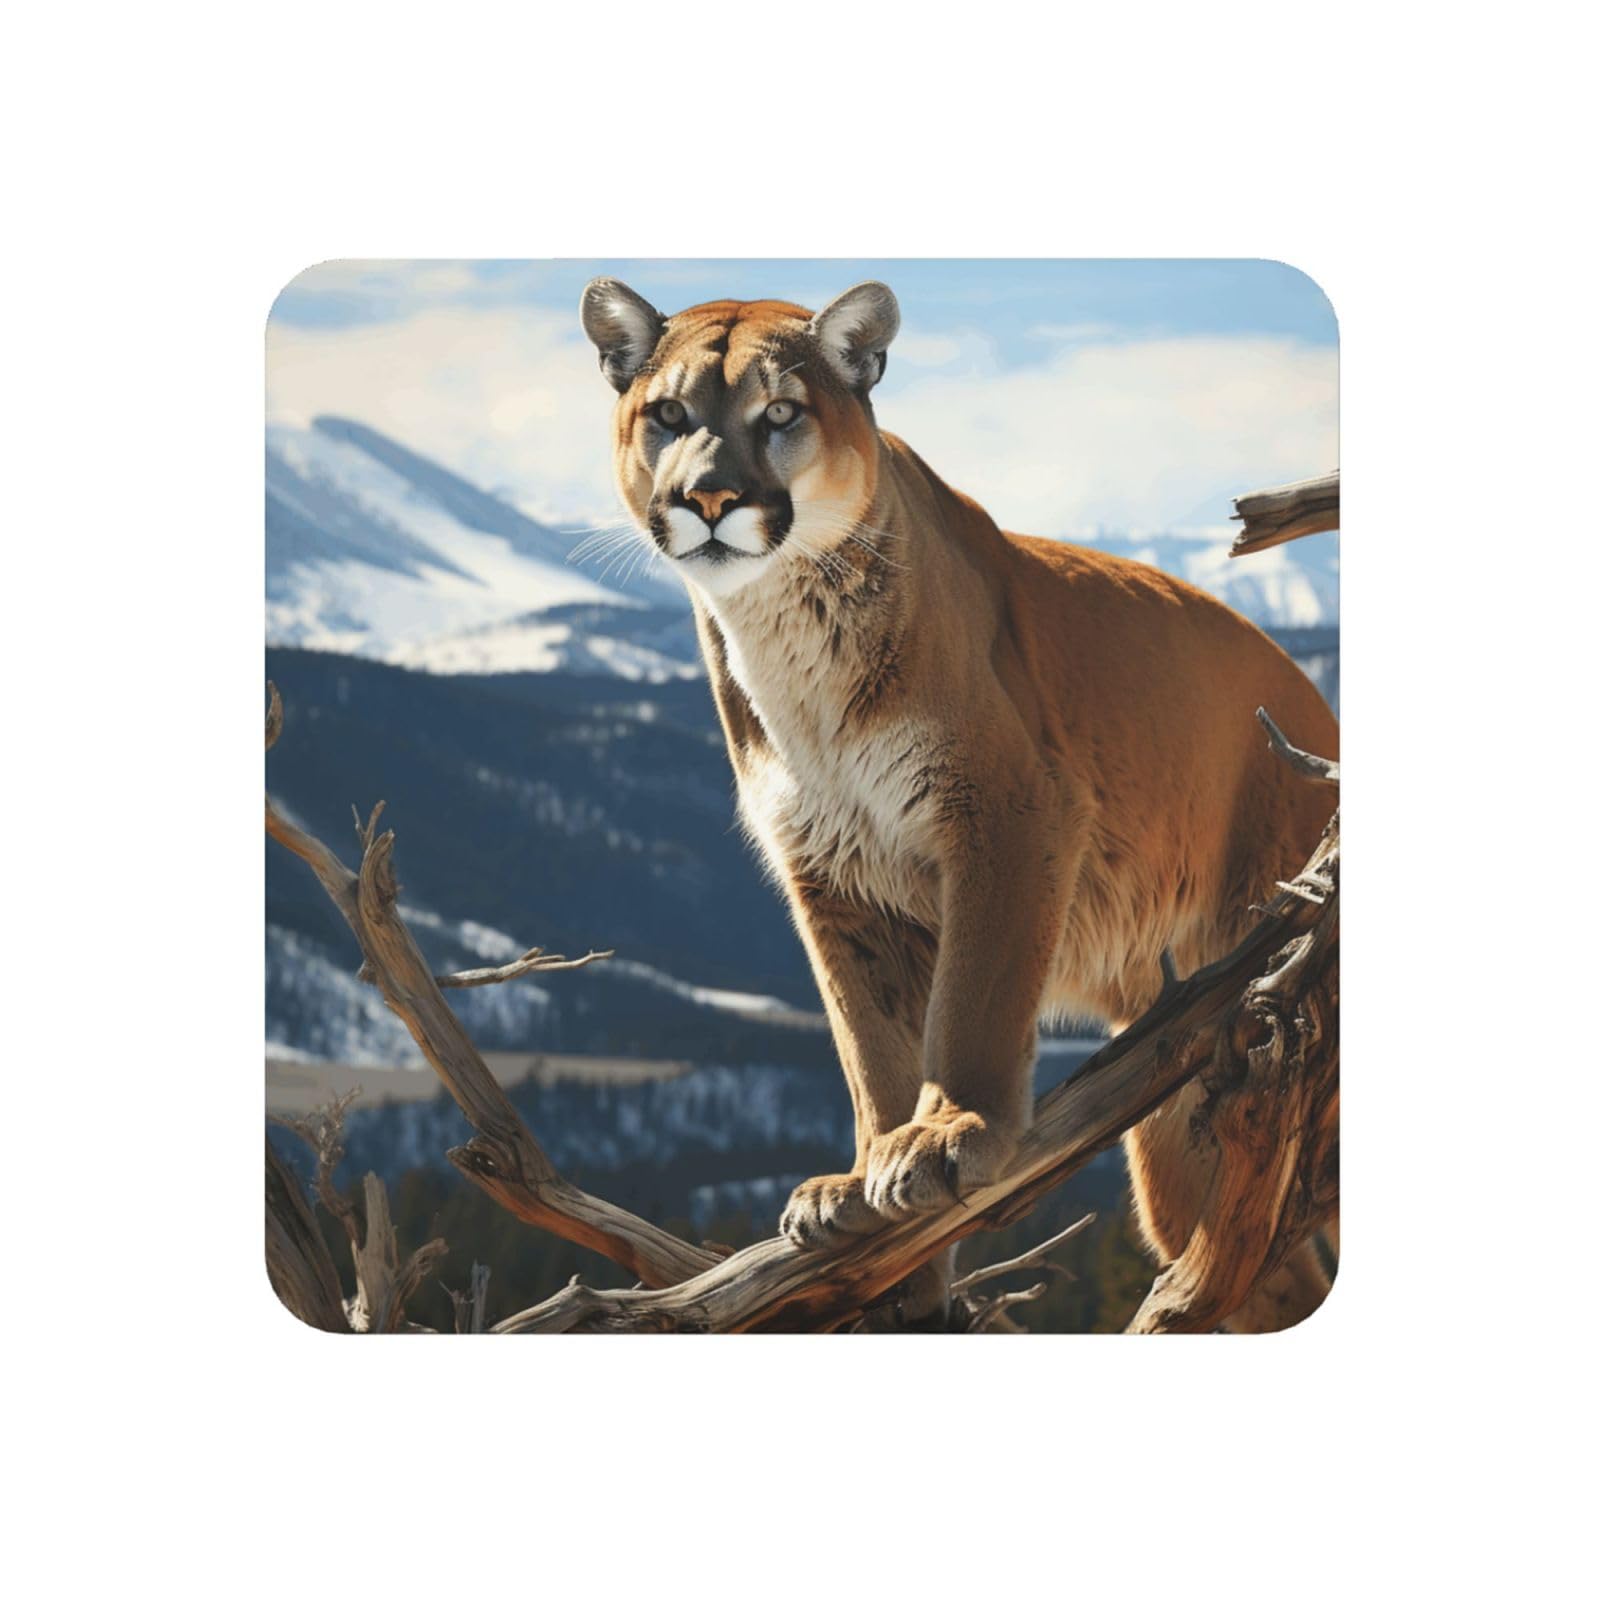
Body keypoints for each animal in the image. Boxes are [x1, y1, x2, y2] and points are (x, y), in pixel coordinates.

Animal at [580, 277, 1338, 1330]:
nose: (708, 497)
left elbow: (972, 995)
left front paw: (947, 1135)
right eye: (667, 416)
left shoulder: (1009, 810)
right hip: (1195, 1125)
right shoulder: (828, 871)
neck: (785, 632)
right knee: (1251, 1269)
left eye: (780, 414)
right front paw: (863, 1191)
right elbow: (865, 1036)